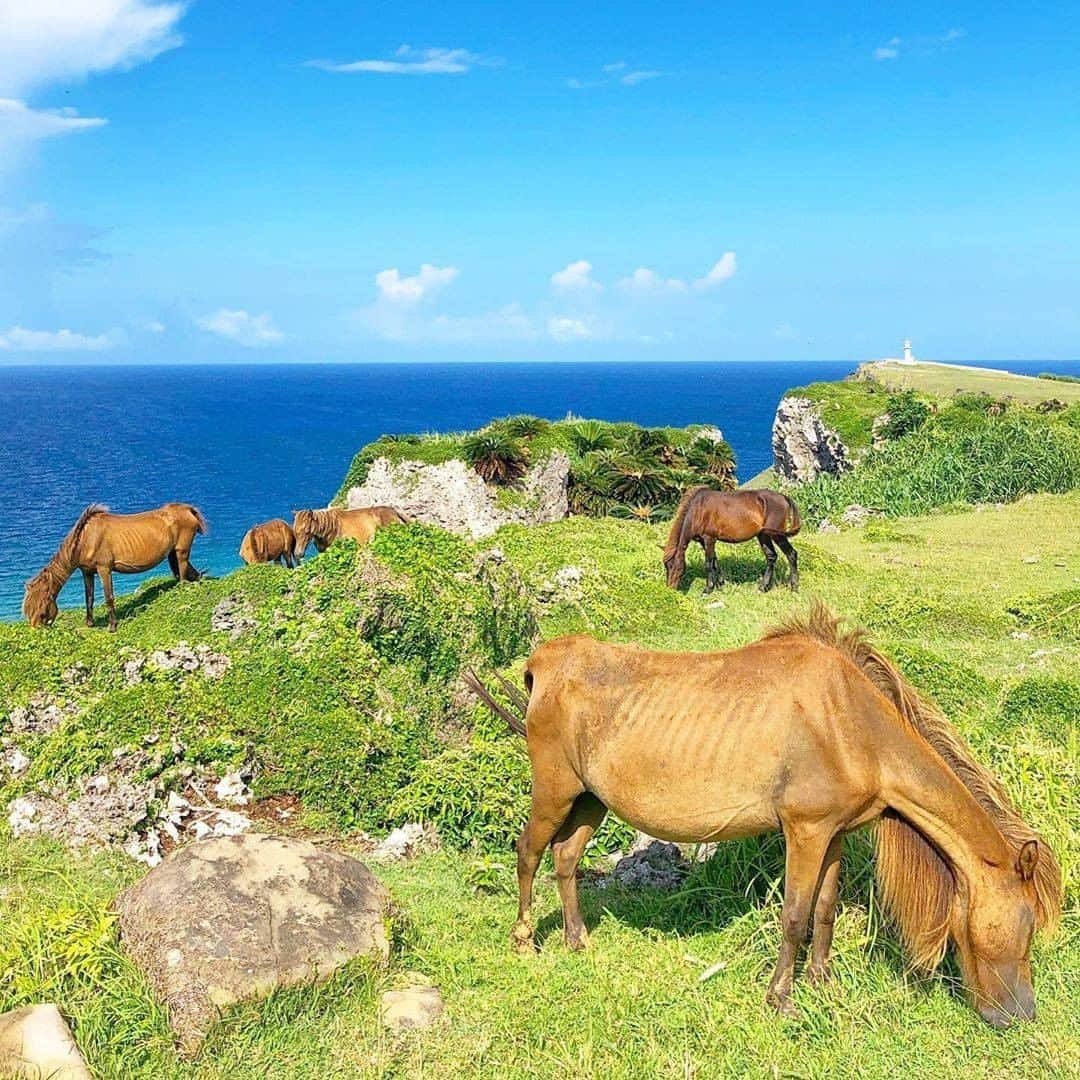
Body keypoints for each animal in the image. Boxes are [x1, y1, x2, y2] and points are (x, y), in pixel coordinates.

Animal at [23, 503, 207, 632]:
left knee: (182, 570)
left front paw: (112, 626)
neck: (86, 538)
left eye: (43, 607)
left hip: (181, 550)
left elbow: (108, 597)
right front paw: (90, 623)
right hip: (172, 553)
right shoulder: (87, 572)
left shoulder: (104, 569)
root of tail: (187, 509)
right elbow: (89, 598)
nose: (36, 629)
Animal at [466, 605, 1061, 1028]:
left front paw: (820, 982)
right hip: (554, 792)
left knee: (565, 858)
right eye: (1028, 923)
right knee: (529, 852)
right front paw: (781, 998)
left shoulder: (834, 833)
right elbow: (794, 916)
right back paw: (523, 939)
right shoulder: (804, 830)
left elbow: (824, 909)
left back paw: (577, 939)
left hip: (591, 800)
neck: (852, 723)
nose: (1021, 1015)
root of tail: (542, 663)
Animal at [662, 486, 801, 593]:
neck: (698, 509)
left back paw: (794, 587)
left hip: (777, 535)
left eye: (674, 566)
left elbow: (708, 564)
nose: (669, 589)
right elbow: (714, 561)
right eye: (667, 567)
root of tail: (783, 497)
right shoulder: (704, 541)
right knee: (771, 557)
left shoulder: (709, 539)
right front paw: (720, 584)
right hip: (763, 535)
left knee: (791, 554)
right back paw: (763, 587)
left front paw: (708, 589)